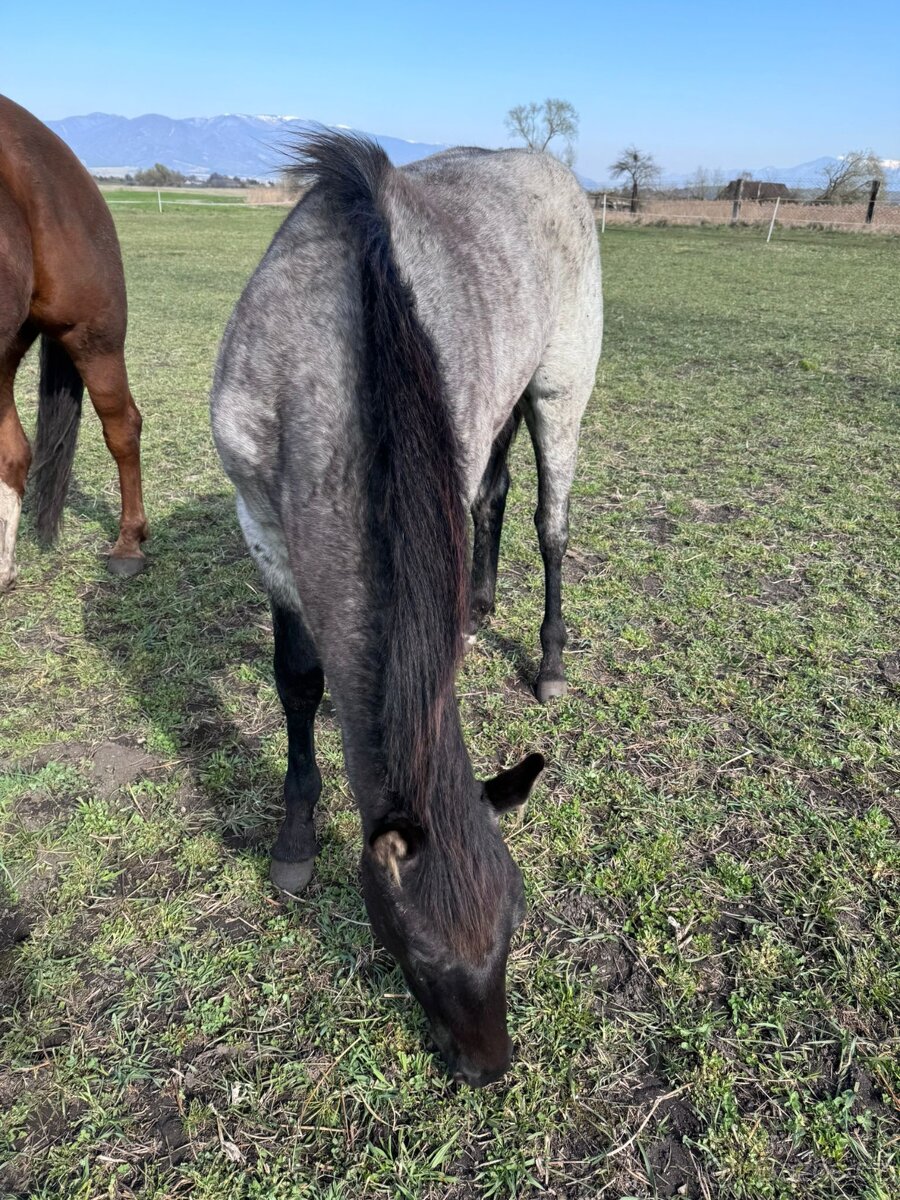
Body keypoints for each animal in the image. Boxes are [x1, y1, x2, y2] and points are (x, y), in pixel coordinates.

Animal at [211, 132, 602, 1086]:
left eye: (514, 921)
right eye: (420, 953)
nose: (490, 1069)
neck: (331, 350)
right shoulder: (260, 521)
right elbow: (298, 678)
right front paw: (295, 842)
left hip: (557, 394)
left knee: (550, 524)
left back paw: (549, 660)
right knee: (499, 497)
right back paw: (484, 605)